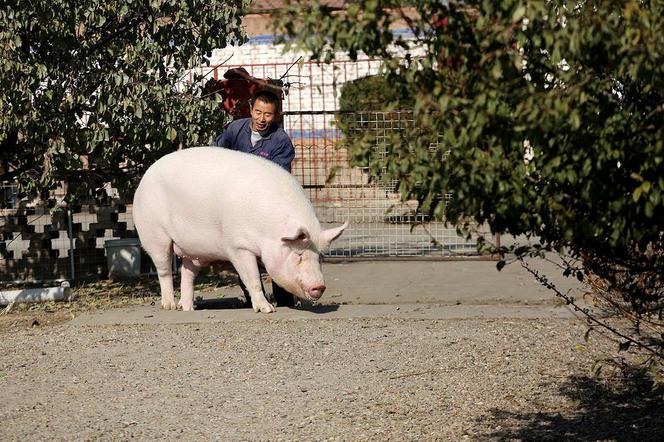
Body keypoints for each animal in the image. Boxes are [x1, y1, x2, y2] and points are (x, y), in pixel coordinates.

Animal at [130, 147, 348, 312]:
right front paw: (267, 309)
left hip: (195, 251)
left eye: (320, 257)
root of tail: (146, 175)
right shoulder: (238, 246)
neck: (268, 230)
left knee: (187, 272)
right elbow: (252, 278)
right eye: (299, 255)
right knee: (164, 269)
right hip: (154, 234)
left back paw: (188, 308)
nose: (319, 286)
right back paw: (170, 306)